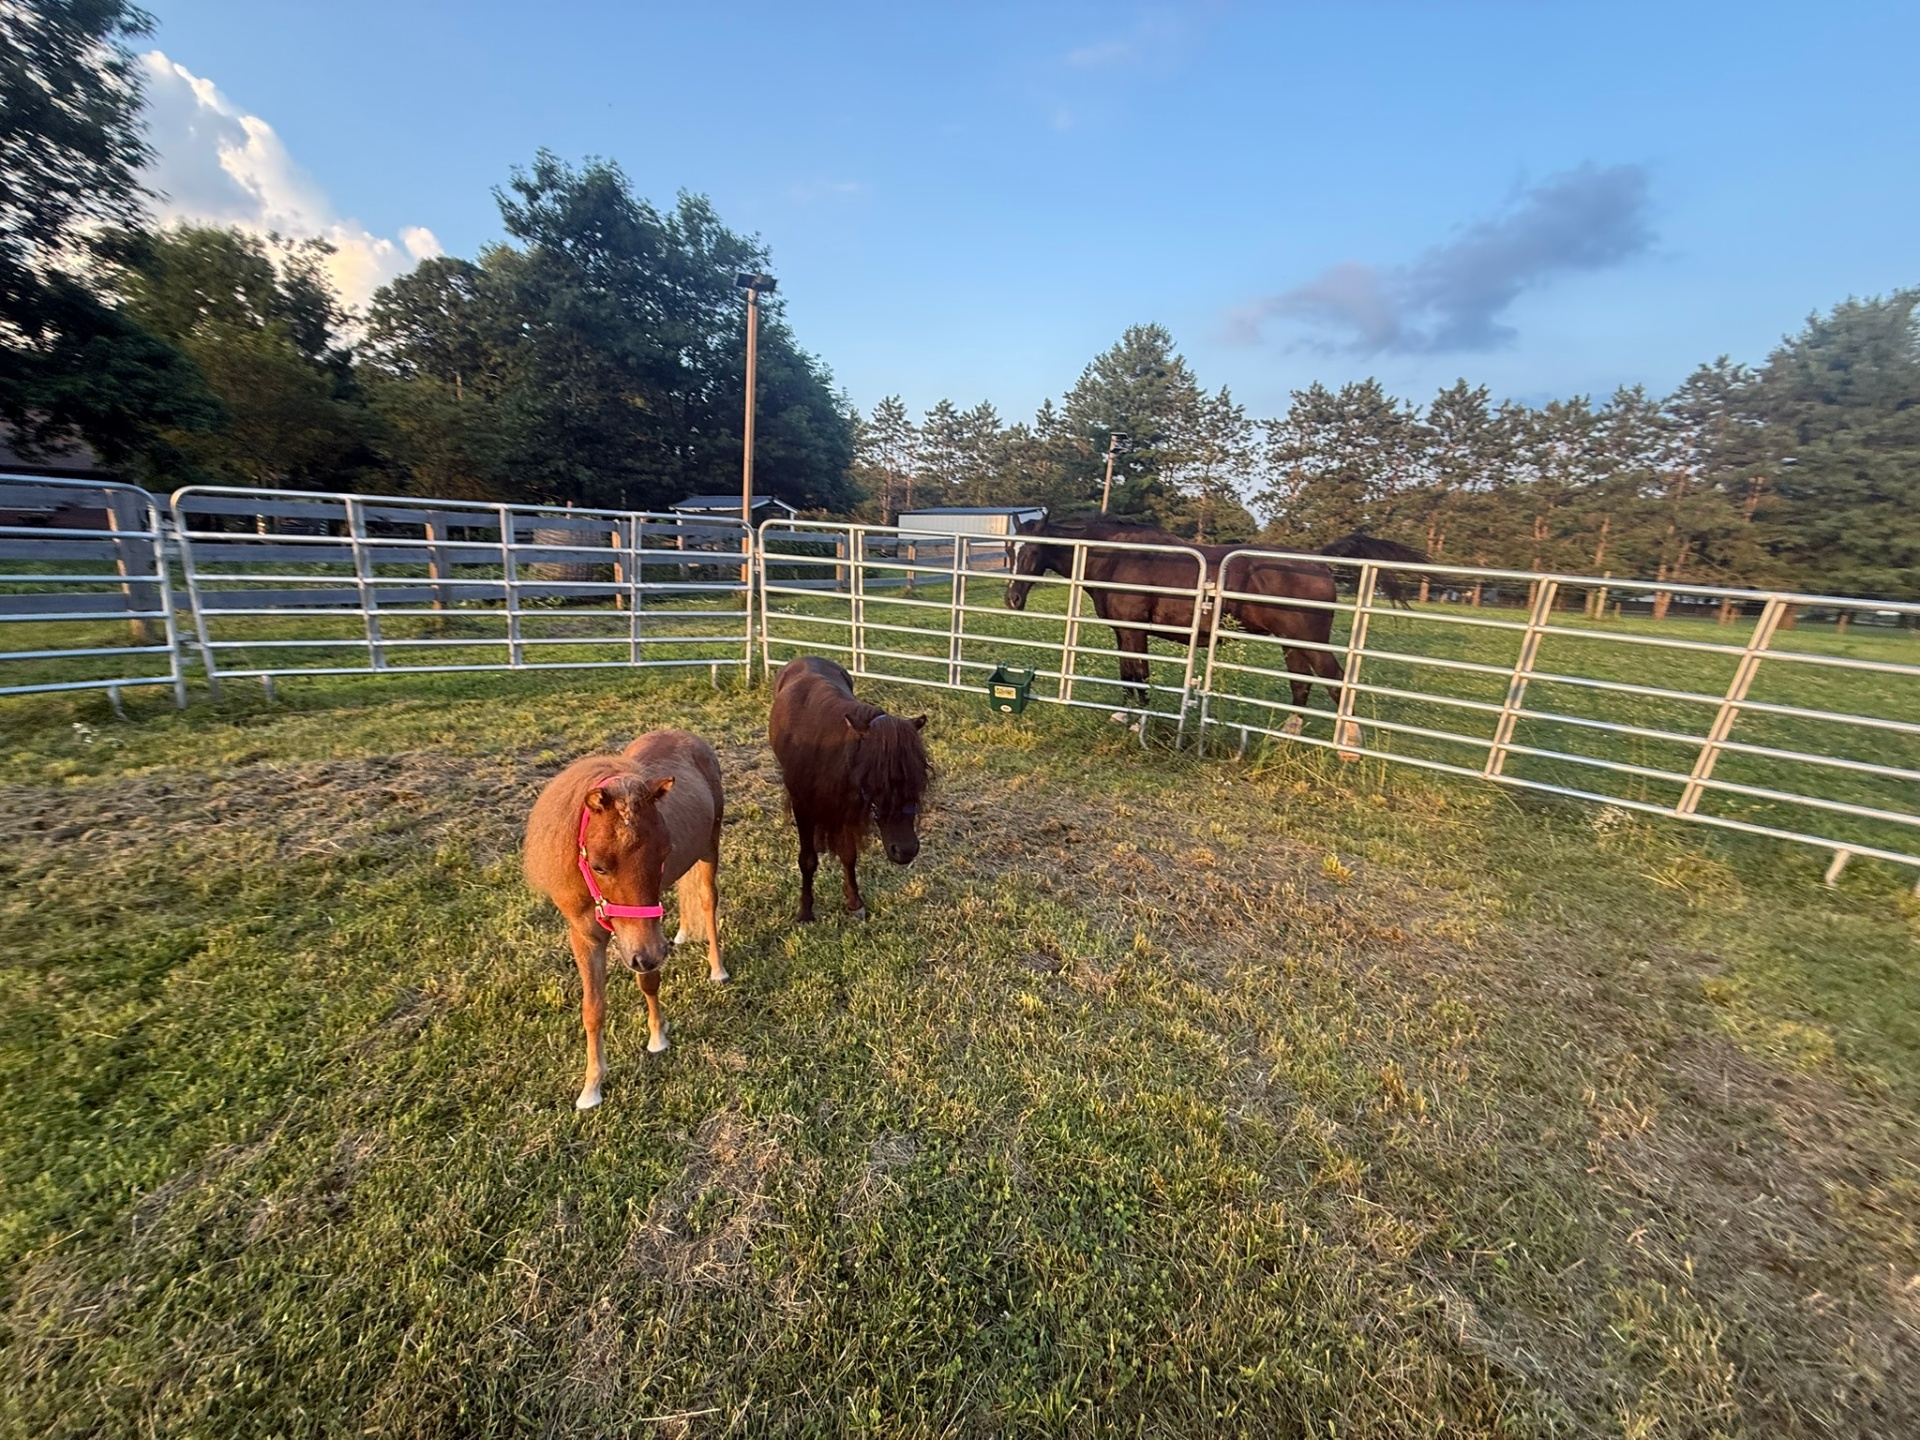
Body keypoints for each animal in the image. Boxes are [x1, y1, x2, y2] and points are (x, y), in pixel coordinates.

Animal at [524, 729, 728, 1110]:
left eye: (663, 852)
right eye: (600, 865)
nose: (650, 954)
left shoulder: (645, 938)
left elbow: (649, 982)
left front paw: (658, 1037)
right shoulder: (586, 937)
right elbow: (593, 1009)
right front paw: (591, 1087)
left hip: (710, 847)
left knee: (708, 902)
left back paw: (717, 968)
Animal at [768, 656, 930, 922]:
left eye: (918, 778)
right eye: (877, 778)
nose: (906, 850)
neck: (825, 748)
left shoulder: (846, 808)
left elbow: (848, 855)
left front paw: (854, 902)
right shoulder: (802, 805)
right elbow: (807, 860)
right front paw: (805, 911)